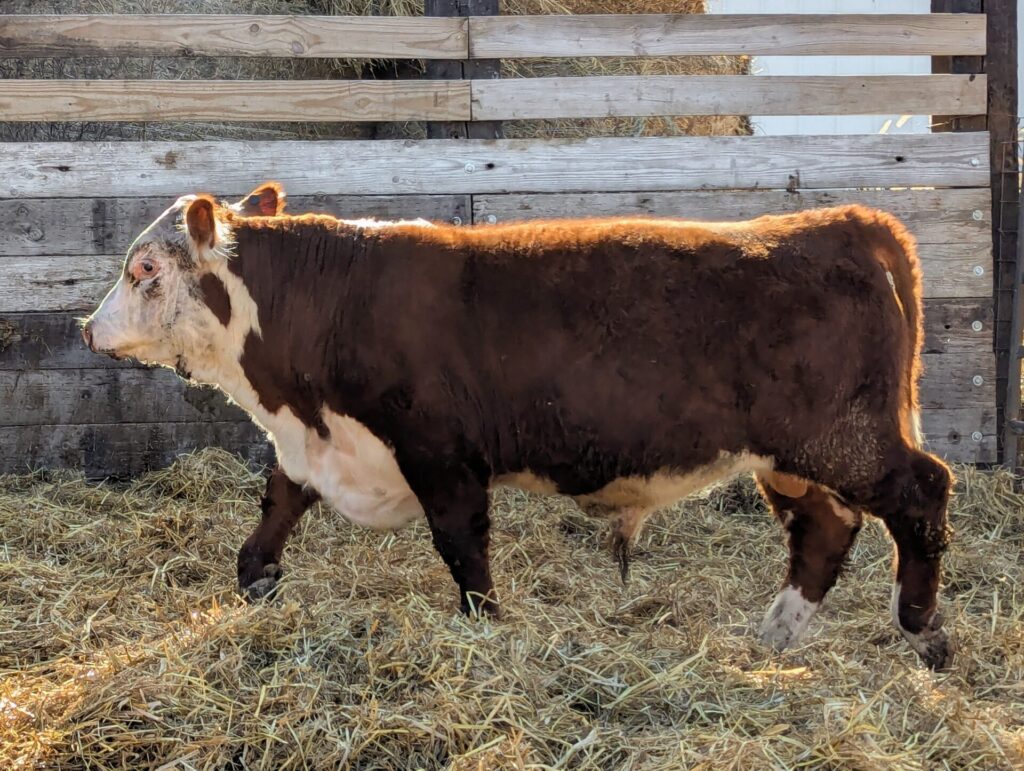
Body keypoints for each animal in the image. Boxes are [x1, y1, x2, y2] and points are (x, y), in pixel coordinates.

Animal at [82, 183, 954, 669]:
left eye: (145, 268)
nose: (88, 327)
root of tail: (839, 221)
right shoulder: (318, 446)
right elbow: (277, 507)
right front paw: (256, 577)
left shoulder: (441, 454)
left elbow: (462, 548)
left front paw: (487, 630)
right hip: (794, 456)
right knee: (825, 530)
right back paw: (778, 632)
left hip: (844, 438)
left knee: (922, 493)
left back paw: (921, 628)